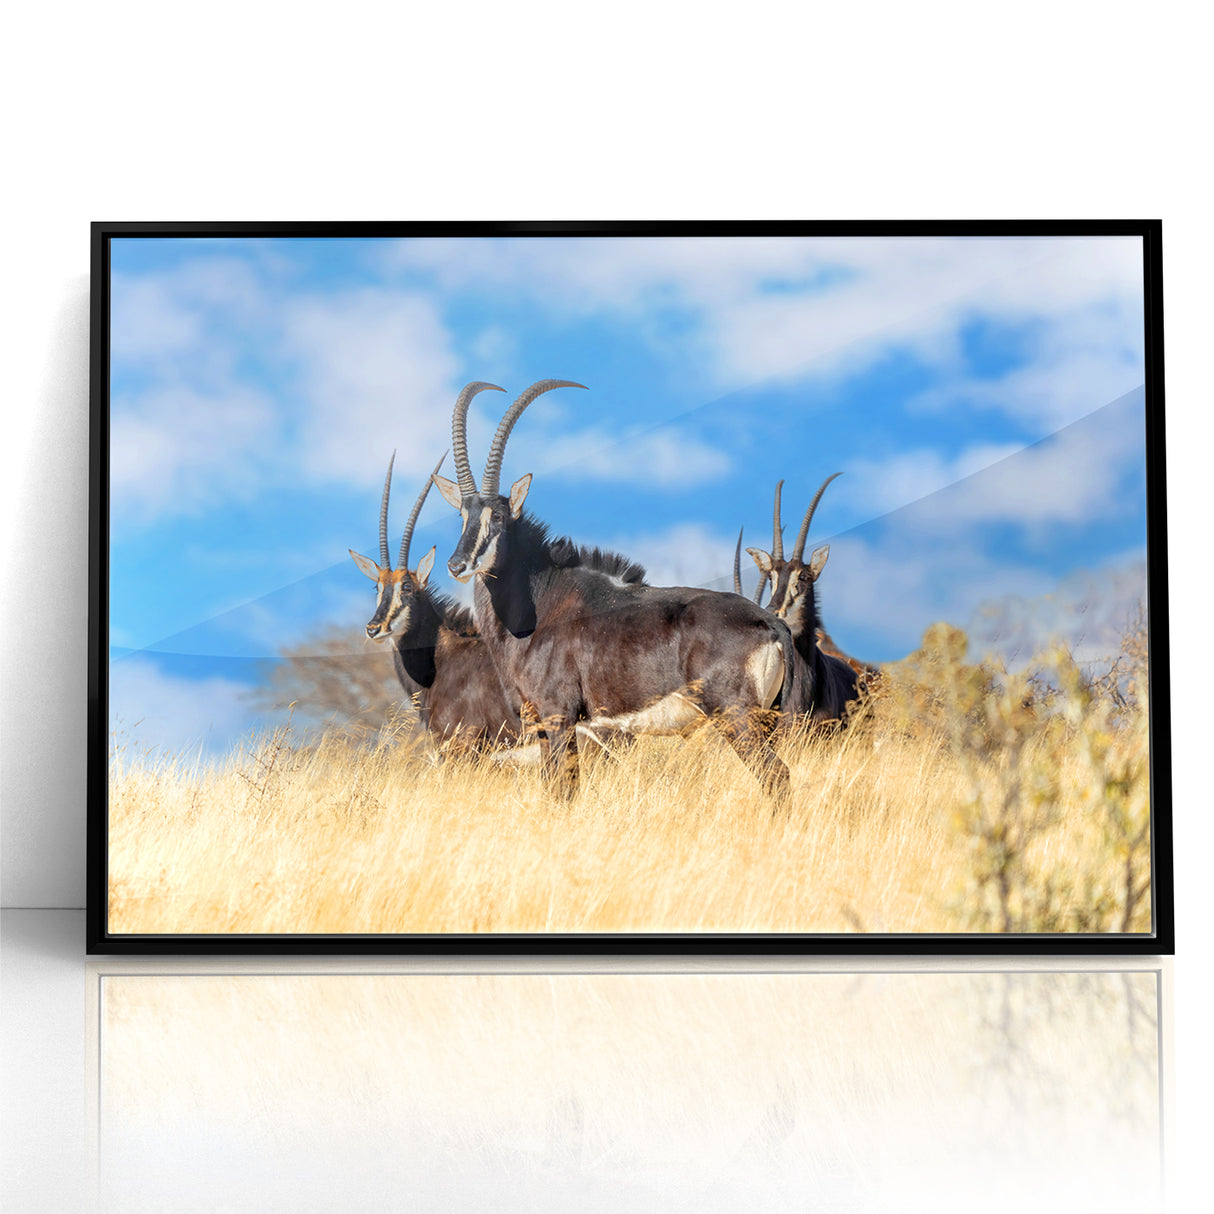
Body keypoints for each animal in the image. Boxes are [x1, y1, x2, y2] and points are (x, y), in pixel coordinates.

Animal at [432, 379, 797, 804]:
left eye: (500, 517)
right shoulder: (543, 725)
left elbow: (564, 790)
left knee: (776, 776)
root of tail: (769, 623)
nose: (457, 565)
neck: (540, 604)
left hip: (737, 716)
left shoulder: (558, 715)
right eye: (463, 515)